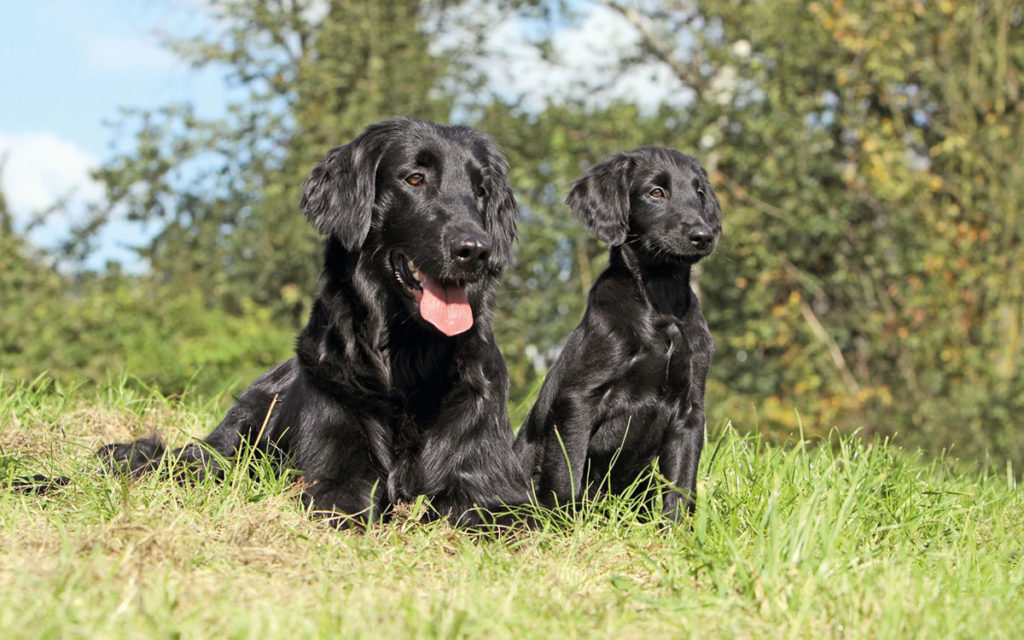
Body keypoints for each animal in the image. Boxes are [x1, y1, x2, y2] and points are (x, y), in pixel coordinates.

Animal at [88, 117, 528, 528]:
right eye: (415, 178)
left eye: (481, 190)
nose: (476, 250)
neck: (407, 361)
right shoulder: (335, 479)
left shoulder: (494, 491)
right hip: (227, 449)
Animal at [512, 147, 720, 522]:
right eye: (656, 192)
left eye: (699, 193)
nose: (703, 236)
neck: (659, 301)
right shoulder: (578, 399)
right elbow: (567, 475)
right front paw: (568, 528)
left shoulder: (690, 409)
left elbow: (681, 484)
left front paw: (675, 531)